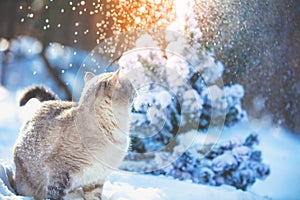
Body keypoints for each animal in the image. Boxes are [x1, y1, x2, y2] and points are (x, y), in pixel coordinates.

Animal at [12, 68, 135, 199]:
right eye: (131, 85)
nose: (136, 91)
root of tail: (49, 102)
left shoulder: (95, 181)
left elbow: (95, 197)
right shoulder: (59, 175)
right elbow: (55, 195)